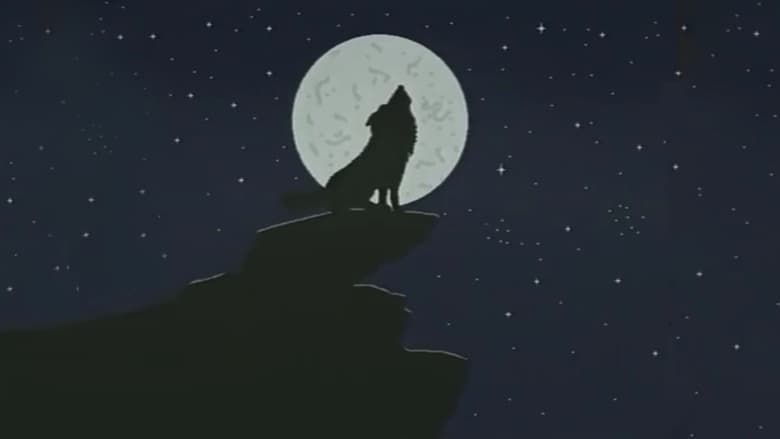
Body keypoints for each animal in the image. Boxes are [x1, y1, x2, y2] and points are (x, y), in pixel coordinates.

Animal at [282, 85, 417, 212]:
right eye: (388, 103)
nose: (400, 86)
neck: (390, 138)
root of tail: (328, 188)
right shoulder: (394, 179)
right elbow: (394, 196)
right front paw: (397, 210)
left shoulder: (386, 182)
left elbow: (383, 196)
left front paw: (386, 206)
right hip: (363, 187)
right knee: (355, 202)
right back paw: (373, 206)